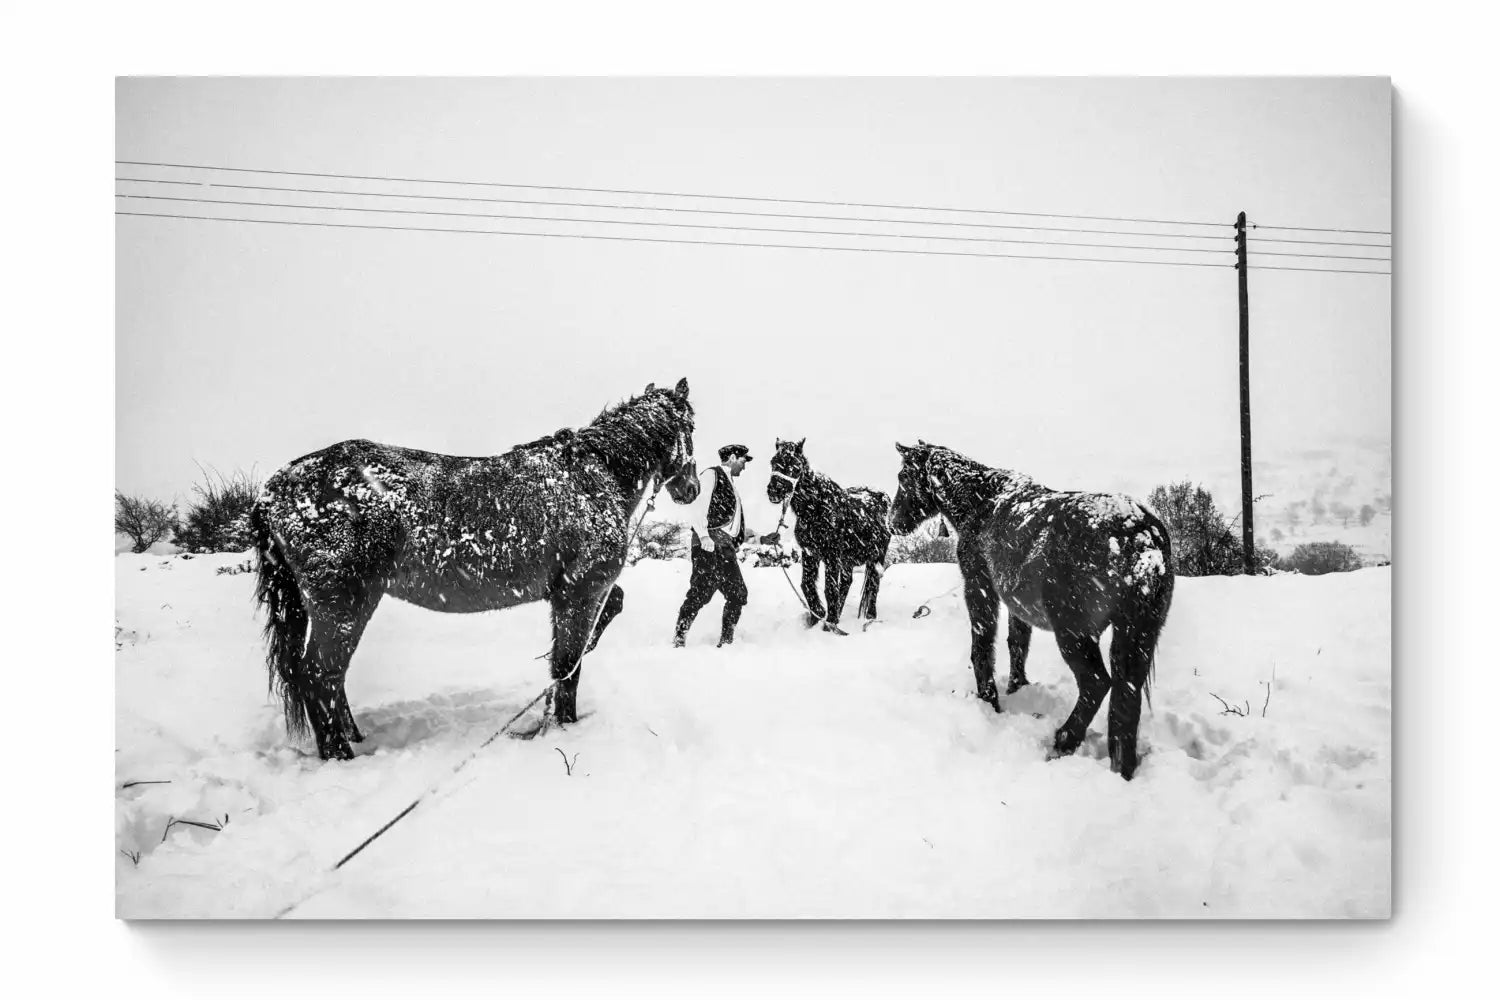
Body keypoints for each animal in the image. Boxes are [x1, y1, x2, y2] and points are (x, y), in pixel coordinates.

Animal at [252, 379, 702, 761]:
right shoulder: (582, 592)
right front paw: (565, 727)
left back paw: (353, 737)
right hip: (345, 603)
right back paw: (341, 755)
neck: (592, 478)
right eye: (692, 427)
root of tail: (274, 489)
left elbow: (571, 652)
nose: (691, 489)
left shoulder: (565, 597)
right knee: (319, 675)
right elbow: (568, 666)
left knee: (329, 677)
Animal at [762, 440, 888, 632]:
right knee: (847, 582)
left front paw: (829, 621)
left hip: (876, 556)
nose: (774, 490)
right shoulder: (809, 553)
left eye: (795, 465)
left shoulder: (832, 555)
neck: (817, 509)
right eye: (773, 462)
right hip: (848, 560)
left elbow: (830, 587)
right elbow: (807, 585)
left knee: (874, 582)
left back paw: (870, 617)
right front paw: (818, 615)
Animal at [888, 440, 1170, 779]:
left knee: (1097, 684)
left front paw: (990, 701)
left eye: (903, 477)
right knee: (1127, 694)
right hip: (1136, 634)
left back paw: (1063, 741)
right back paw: (1121, 767)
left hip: (1075, 633)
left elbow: (983, 646)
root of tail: (1139, 535)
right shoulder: (1016, 604)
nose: (892, 522)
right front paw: (1017, 687)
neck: (982, 503)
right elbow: (1017, 644)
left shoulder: (979, 587)